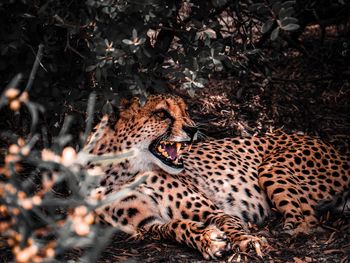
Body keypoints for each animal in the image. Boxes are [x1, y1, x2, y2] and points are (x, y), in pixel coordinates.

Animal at [82, 94, 350, 260]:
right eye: (162, 114)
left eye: (186, 111)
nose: (192, 129)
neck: (123, 171)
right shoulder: (145, 225)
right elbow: (174, 226)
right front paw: (208, 239)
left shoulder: (216, 211)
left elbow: (230, 224)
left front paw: (247, 241)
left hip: (273, 167)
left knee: (309, 221)